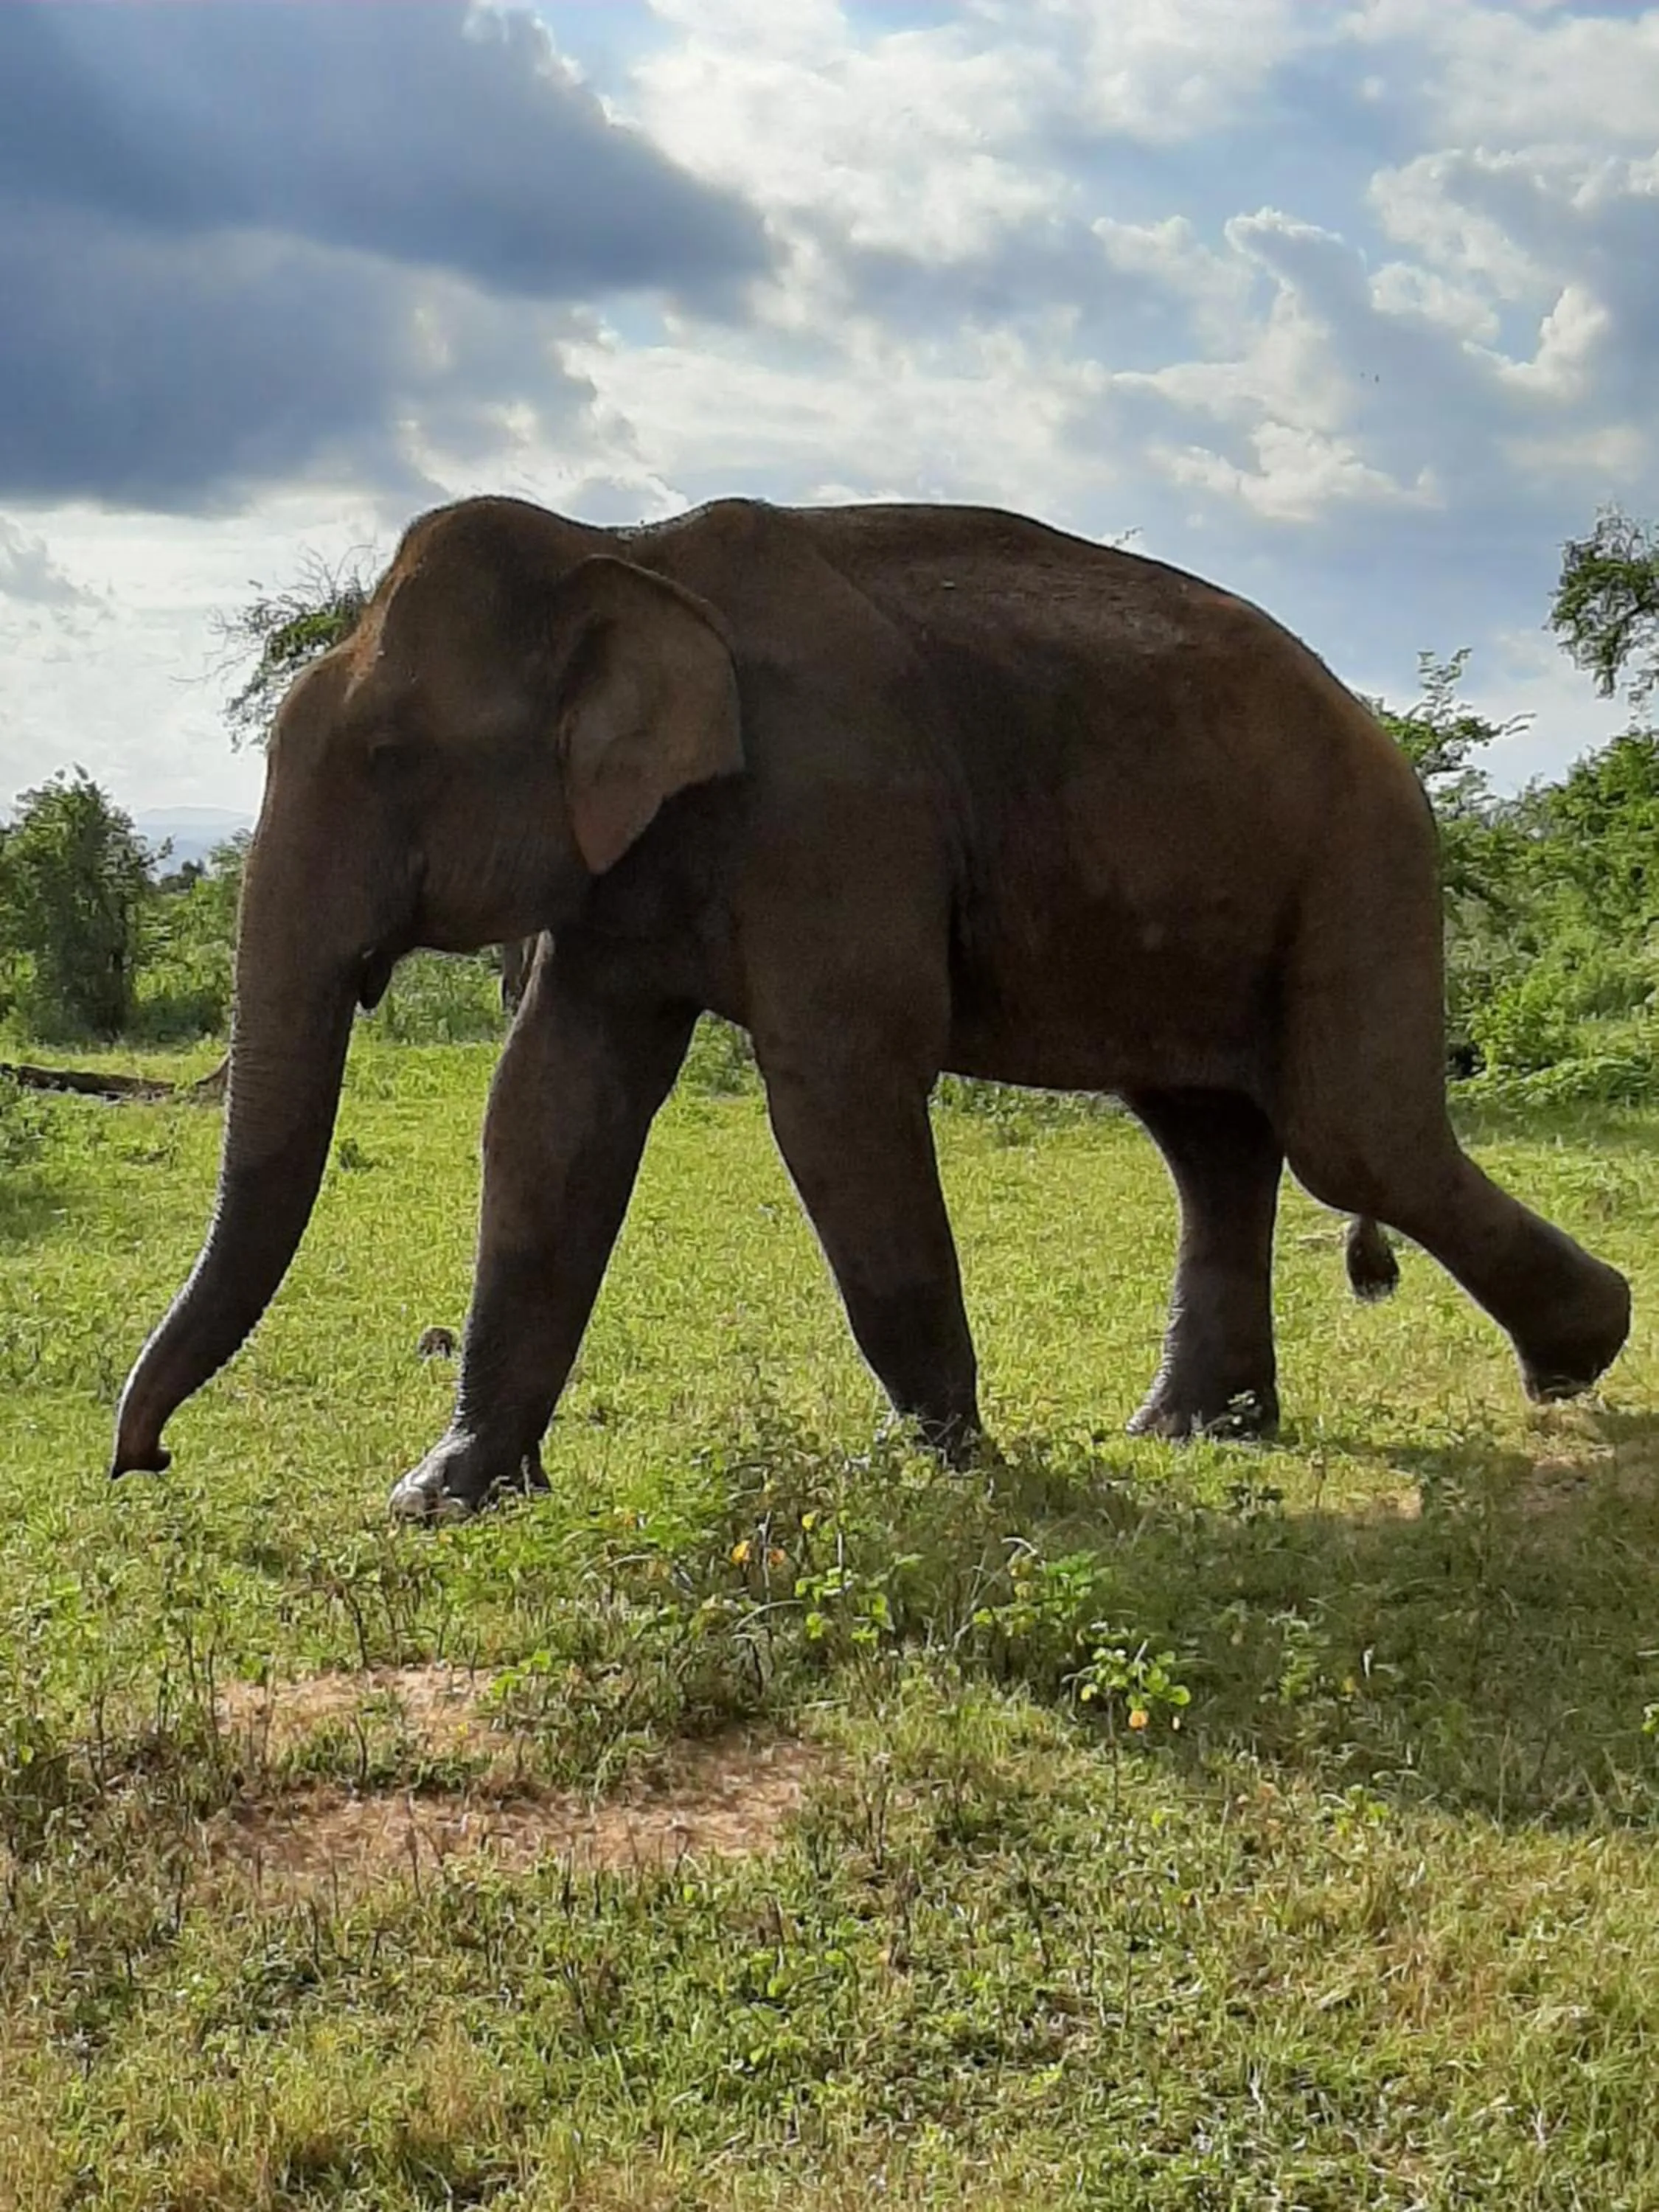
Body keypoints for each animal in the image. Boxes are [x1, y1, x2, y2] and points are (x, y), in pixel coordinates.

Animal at [110, 495, 1631, 1520]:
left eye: (387, 757)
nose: (148, 1464)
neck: (623, 543)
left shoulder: (835, 812)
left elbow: (837, 1090)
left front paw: (935, 1469)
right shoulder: (631, 867)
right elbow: (552, 1111)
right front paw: (442, 1498)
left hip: (1361, 855)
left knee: (1351, 1135)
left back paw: (1581, 1361)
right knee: (1213, 1140)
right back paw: (1196, 1433)